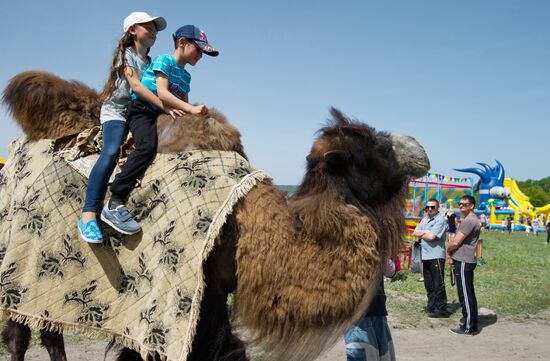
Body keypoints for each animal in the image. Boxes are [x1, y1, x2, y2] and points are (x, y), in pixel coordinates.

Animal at [0, 71, 432, 360]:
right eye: (377, 146)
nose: (419, 147)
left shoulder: (211, 293)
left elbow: (224, 350)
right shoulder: (178, 296)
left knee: (47, 331)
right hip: (22, 257)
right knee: (20, 334)